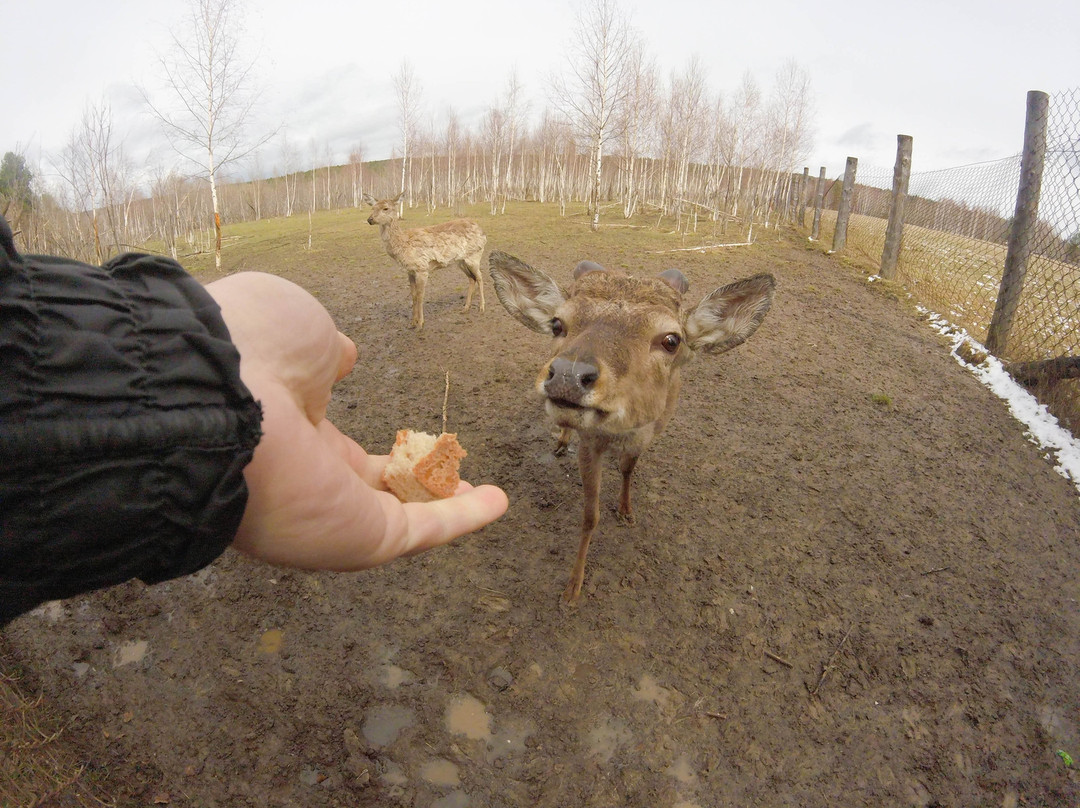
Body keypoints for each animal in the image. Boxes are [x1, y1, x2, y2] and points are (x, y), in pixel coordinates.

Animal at [362, 191, 486, 330]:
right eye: (372, 207)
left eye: (386, 208)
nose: (370, 219)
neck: (403, 245)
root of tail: (482, 231)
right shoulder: (410, 271)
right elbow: (414, 296)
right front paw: (412, 322)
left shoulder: (422, 267)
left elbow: (421, 296)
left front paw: (420, 323)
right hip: (461, 261)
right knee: (471, 278)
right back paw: (465, 308)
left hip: (475, 255)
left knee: (480, 277)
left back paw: (482, 307)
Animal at [490, 250, 777, 600]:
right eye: (557, 324)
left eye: (671, 340)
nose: (569, 374)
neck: (622, 432)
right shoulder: (590, 443)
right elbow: (590, 516)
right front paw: (573, 587)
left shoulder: (649, 433)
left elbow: (628, 470)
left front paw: (626, 511)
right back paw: (560, 442)